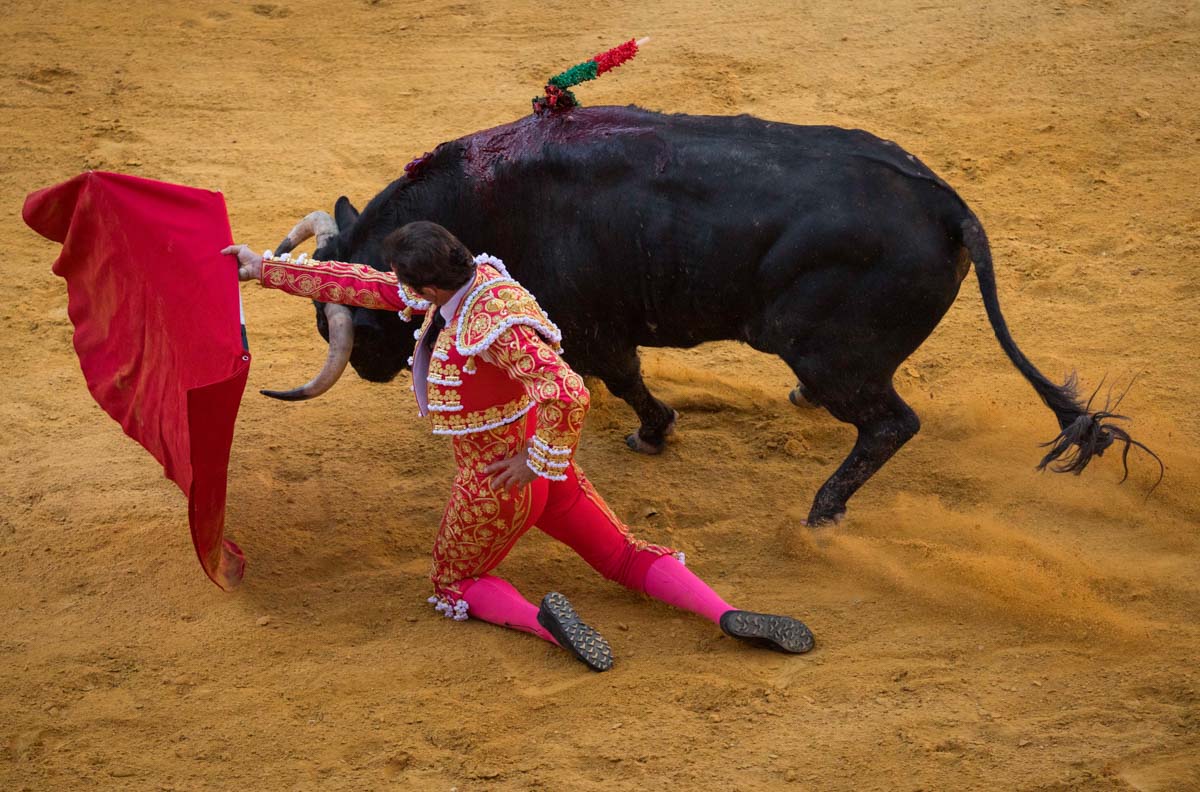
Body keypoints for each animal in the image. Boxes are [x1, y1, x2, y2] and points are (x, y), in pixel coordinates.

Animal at [262, 105, 1152, 525]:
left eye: (361, 318)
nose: (370, 367)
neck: (478, 200)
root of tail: (949, 205)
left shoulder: (594, 327)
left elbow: (623, 379)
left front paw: (653, 432)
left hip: (820, 347)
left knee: (890, 423)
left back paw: (822, 514)